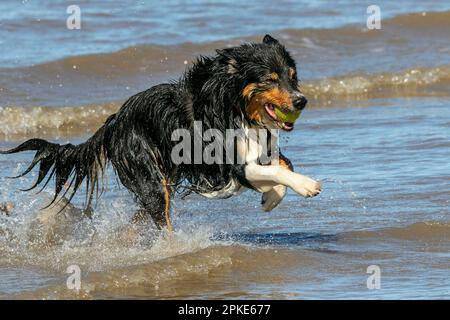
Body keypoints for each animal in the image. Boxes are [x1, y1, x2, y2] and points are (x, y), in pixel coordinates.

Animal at [0, 35, 324, 230]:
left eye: (292, 76)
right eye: (270, 79)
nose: (301, 101)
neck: (236, 108)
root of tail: (114, 122)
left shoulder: (261, 149)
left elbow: (283, 164)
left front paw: (271, 198)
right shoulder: (231, 164)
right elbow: (279, 170)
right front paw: (306, 185)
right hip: (150, 178)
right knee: (159, 218)